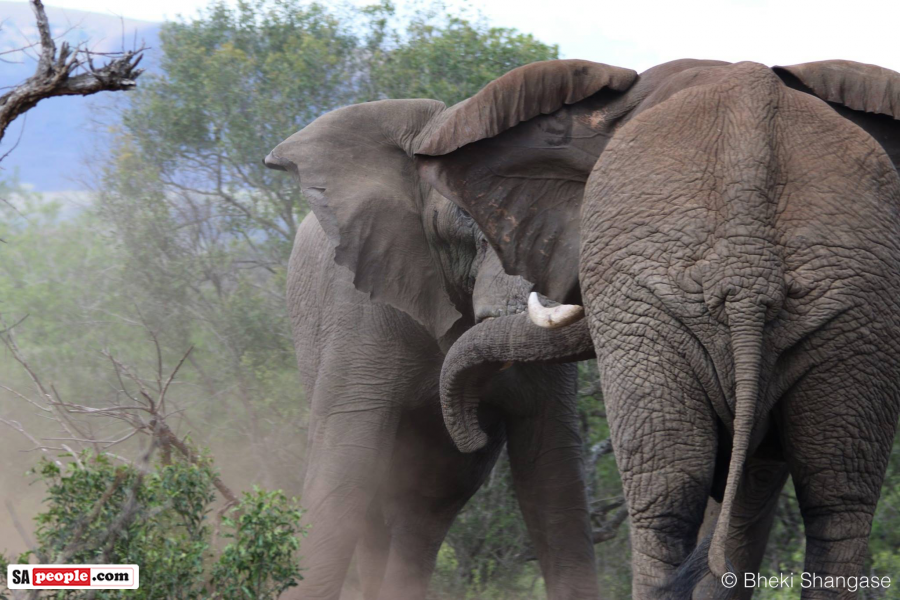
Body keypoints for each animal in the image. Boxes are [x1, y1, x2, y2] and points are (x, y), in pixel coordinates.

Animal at [263, 101, 601, 600]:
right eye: (463, 211)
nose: (471, 432)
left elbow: (552, 476)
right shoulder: (359, 307)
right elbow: (344, 466)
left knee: (426, 510)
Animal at [412, 58, 900, 599]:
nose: (473, 438)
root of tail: (748, 264)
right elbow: (755, 487)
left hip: (647, 309)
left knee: (664, 499)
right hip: (860, 311)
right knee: (838, 501)